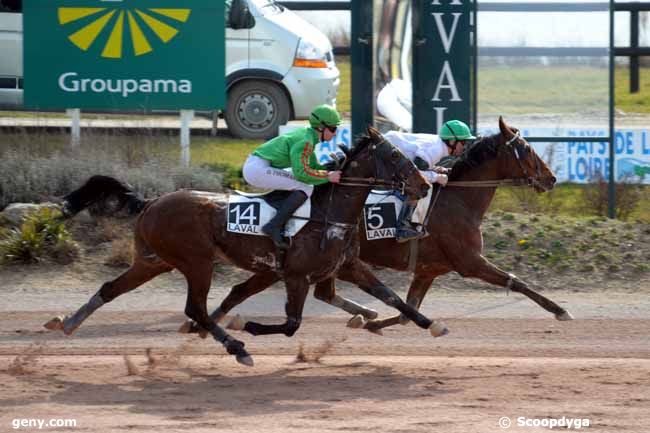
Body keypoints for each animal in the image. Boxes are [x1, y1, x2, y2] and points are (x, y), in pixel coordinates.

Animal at [43, 125, 432, 364]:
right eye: (395, 156)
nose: (424, 185)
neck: (329, 212)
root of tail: (152, 202)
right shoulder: (295, 276)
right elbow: (291, 324)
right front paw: (245, 326)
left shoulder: (346, 265)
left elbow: (390, 296)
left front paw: (430, 324)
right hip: (197, 262)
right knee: (195, 308)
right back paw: (237, 347)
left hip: (154, 261)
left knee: (111, 288)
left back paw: (69, 322)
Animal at [181, 117, 568, 338]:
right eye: (527, 150)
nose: (551, 178)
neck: (459, 202)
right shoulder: (469, 262)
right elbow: (516, 281)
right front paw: (560, 310)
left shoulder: (428, 269)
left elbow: (406, 310)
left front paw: (377, 323)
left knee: (305, 293)